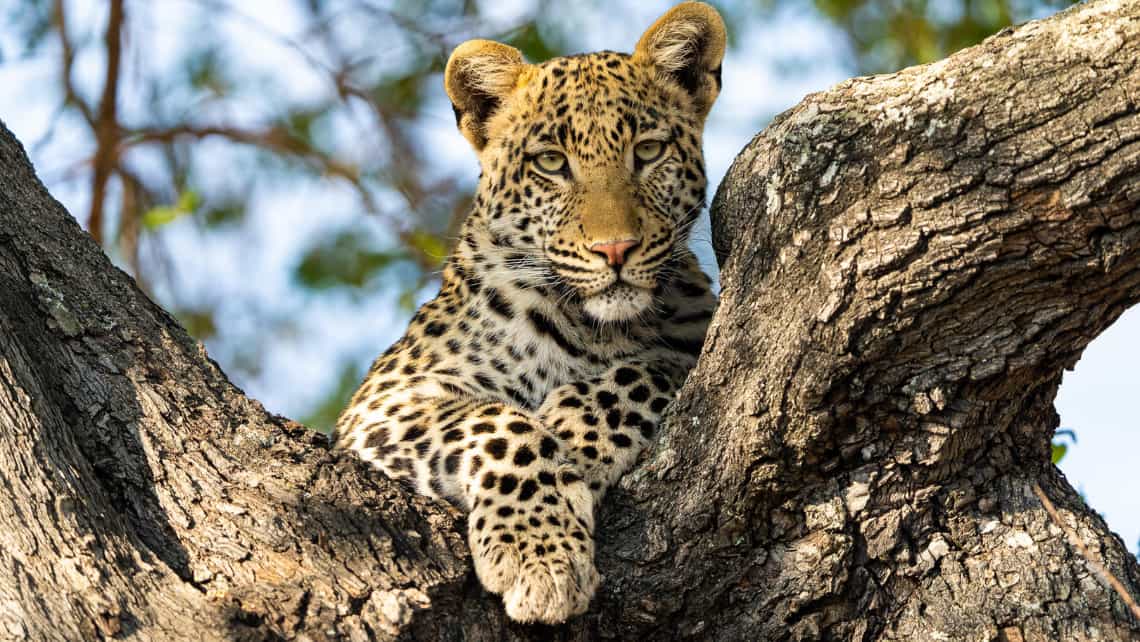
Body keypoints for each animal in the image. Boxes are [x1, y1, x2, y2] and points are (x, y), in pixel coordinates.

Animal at [332, 0, 720, 624]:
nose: (616, 250)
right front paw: (538, 555)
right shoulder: (382, 404)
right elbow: (500, 425)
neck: (592, 328)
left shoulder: (694, 343)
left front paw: (574, 433)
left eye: (648, 151)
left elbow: (653, 370)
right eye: (551, 163)